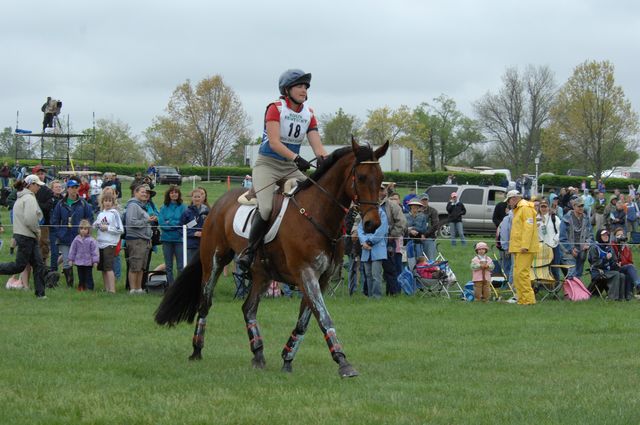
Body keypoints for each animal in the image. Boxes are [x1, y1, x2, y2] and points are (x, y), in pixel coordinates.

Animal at [154, 140, 390, 378]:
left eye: (380, 178)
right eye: (361, 177)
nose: (372, 224)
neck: (318, 214)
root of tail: (217, 204)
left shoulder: (321, 279)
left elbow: (305, 320)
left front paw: (287, 358)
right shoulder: (306, 274)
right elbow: (324, 317)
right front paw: (343, 362)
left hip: (262, 274)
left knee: (248, 309)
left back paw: (258, 354)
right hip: (215, 261)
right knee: (205, 303)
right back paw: (197, 350)